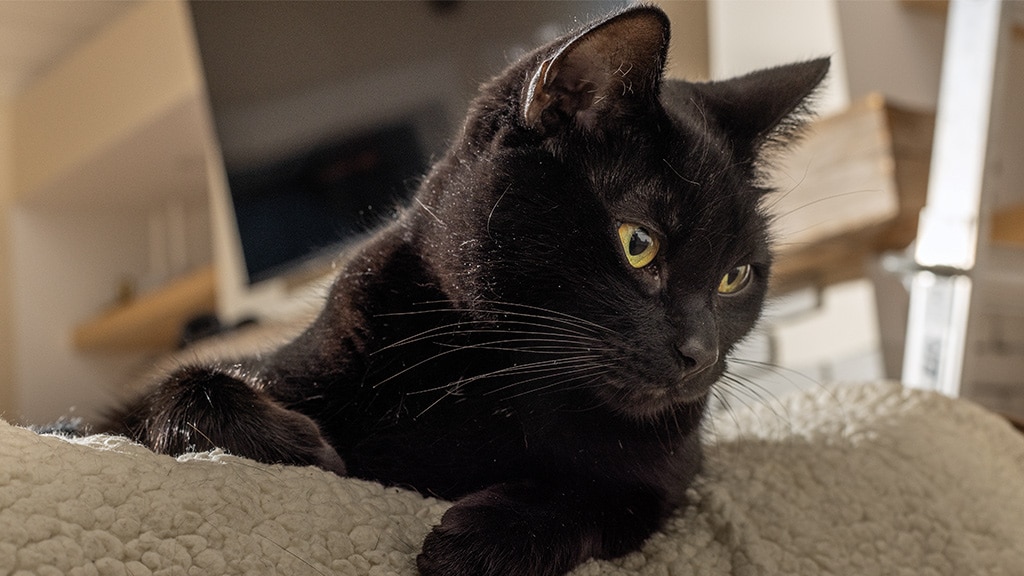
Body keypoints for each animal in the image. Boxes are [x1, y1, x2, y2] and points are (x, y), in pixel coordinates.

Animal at [105, 5, 823, 573]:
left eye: (736, 276)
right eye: (638, 242)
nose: (701, 353)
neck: (498, 384)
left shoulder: (665, 480)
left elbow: (595, 499)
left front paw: (486, 541)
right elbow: (172, 396)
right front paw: (289, 442)